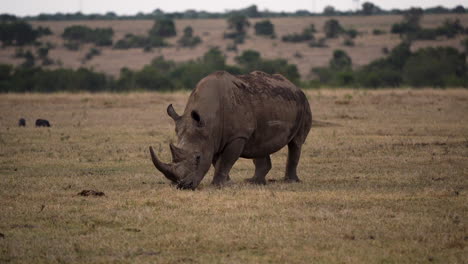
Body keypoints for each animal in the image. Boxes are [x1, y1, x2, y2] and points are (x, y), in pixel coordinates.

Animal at [150, 70, 310, 190]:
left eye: (198, 157)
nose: (183, 186)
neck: (208, 120)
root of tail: (295, 86)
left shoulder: (237, 136)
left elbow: (226, 160)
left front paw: (218, 185)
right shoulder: (212, 139)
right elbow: (217, 161)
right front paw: (228, 183)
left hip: (303, 103)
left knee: (296, 143)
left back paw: (290, 181)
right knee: (260, 143)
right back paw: (253, 182)